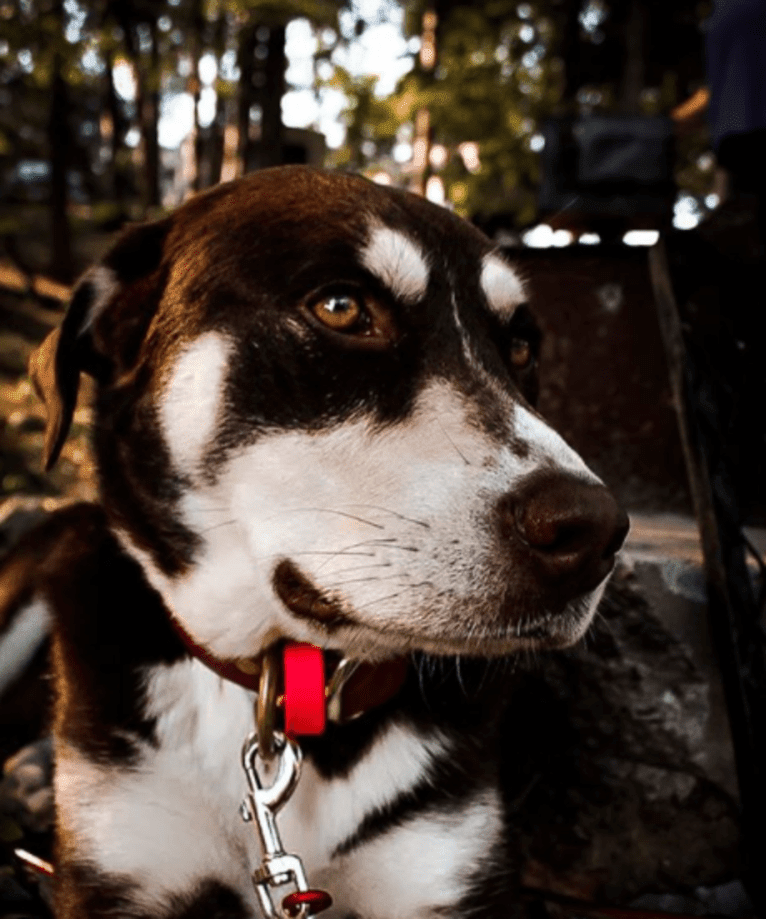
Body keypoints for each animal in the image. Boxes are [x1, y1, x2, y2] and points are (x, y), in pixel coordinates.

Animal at [3, 167, 632, 919]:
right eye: (340, 308)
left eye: (520, 346)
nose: (592, 531)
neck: (281, 681)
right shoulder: (124, 865)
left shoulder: (440, 868)